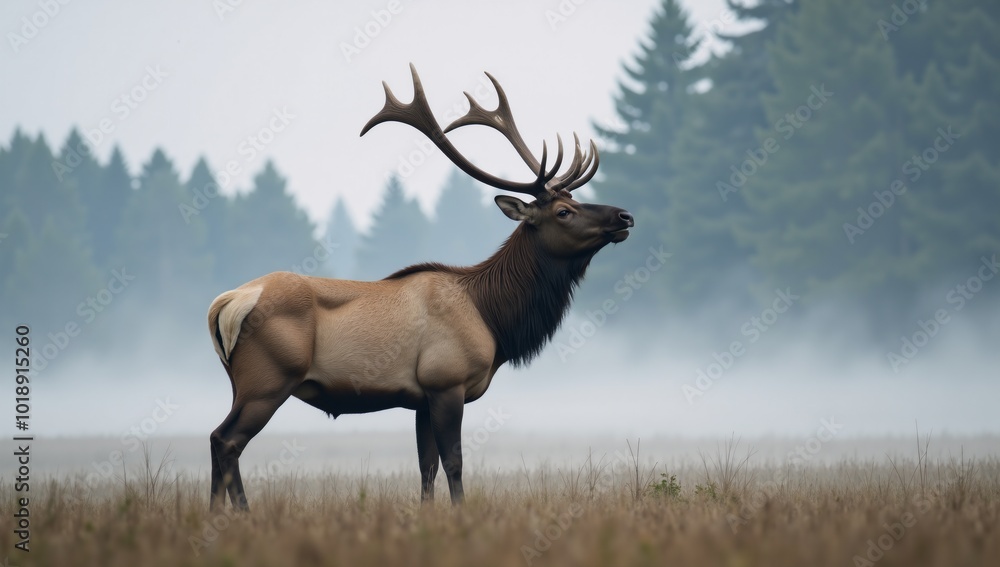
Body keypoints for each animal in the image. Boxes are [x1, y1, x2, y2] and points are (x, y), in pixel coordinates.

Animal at [207, 64, 634, 511]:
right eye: (564, 211)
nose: (624, 216)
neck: (492, 319)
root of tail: (227, 303)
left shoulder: (420, 398)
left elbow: (426, 467)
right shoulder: (446, 381)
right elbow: (454, 462)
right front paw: (460, 512)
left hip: (241, 383)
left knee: (218, 439)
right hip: (269, 379)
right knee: (227, 440)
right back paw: (240, 513)